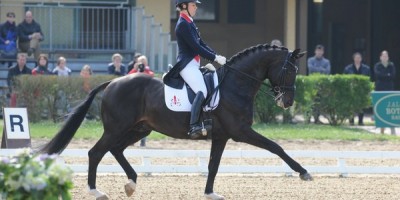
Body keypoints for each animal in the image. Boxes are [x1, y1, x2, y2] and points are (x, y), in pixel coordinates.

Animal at [39, 44, 312, 200]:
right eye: (290, 70)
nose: (287, 102)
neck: (235, 84)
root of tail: (113, 82)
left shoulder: (222, 136)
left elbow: (213, 165)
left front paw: (210, 193)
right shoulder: (241, 131)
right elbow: (276, 147)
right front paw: (304, 172)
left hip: (139, 129)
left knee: (115, 149)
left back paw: (131, 183)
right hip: (117, 128)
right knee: (96, 152)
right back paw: (96, 191)